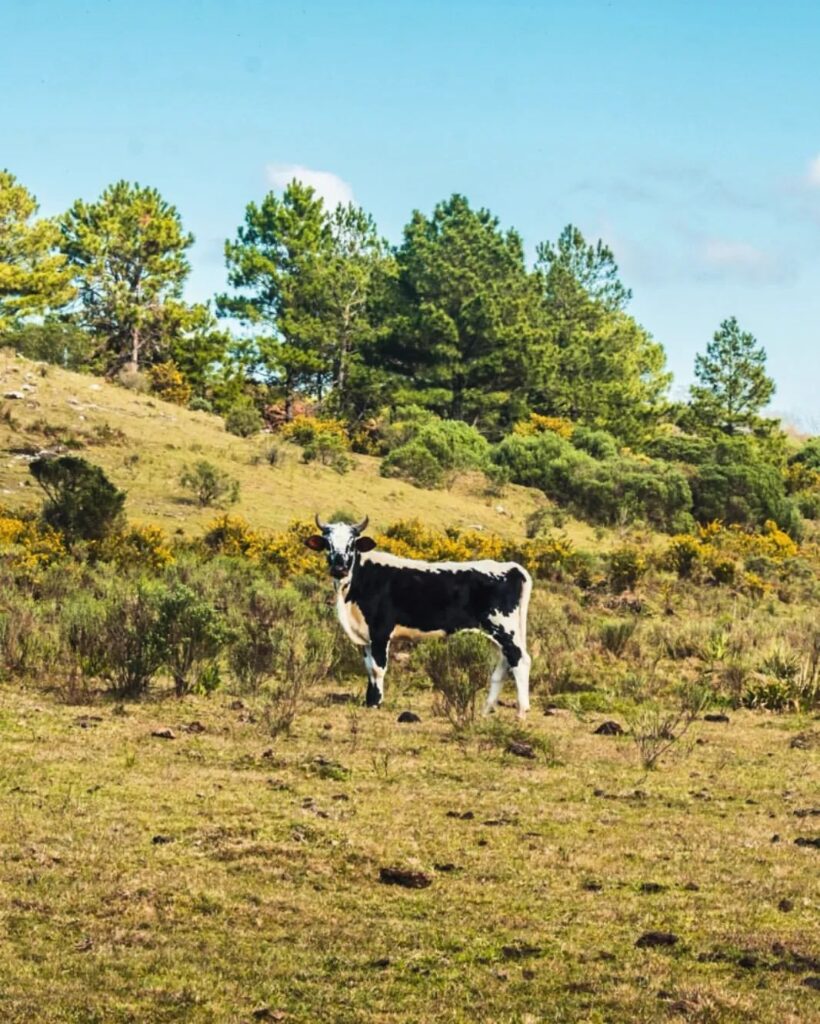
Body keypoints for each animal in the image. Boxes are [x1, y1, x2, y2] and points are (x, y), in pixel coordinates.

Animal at [303, 516, 532, 716]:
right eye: (328, 543)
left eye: (352, 544)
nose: (339, 568)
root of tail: (511, 567)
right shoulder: (365, 636)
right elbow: (368, 668)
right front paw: (369, 701)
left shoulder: (380, 631)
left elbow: (377, 668)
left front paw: (376, 703)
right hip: (495, 632)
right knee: (503, 664)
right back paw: (486, 711)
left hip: (504, 627)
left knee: (519, 659)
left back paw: (521, 712)